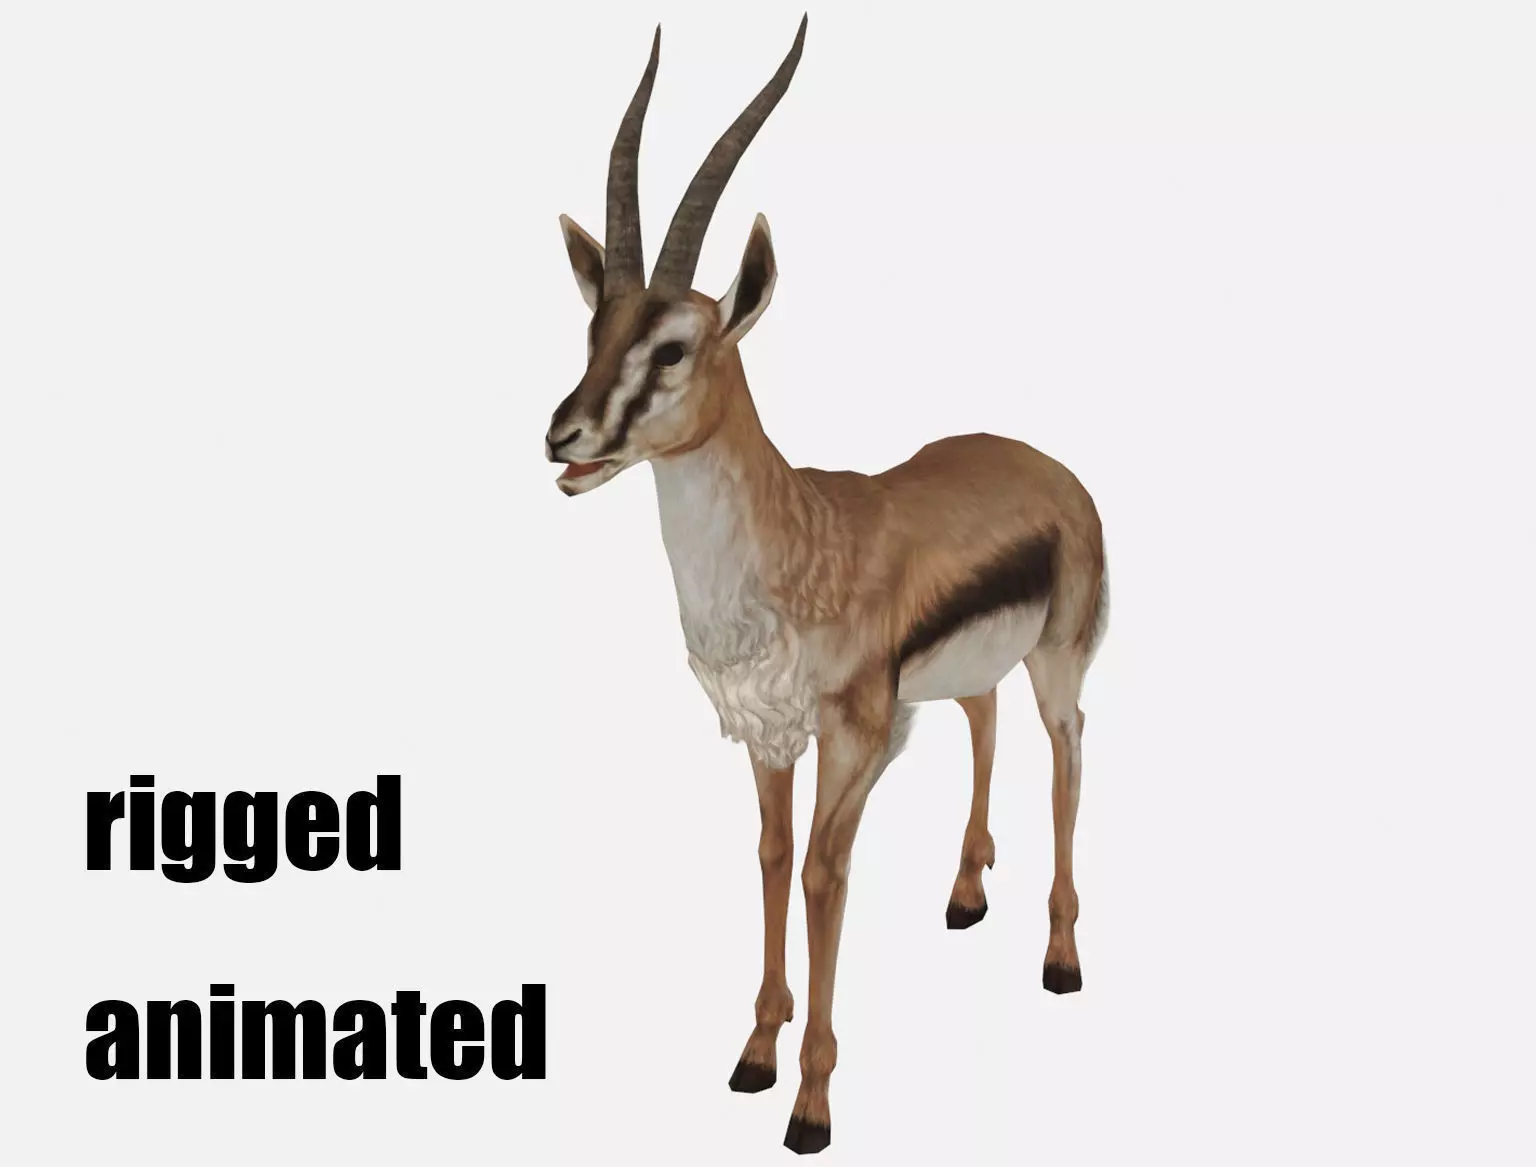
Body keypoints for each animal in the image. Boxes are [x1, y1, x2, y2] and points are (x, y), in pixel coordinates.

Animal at [543, 15, 1108, 1155]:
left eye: (674, 347)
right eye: (597, 329)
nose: (563, 436)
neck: (793, 542)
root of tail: (1051, 468)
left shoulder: (854, 734)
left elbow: (818, 872)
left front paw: (810, 1107)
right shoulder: (769, 733)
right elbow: (767, 855)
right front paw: (754, 1056)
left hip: (1058, 662)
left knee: (1068, 751)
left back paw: (1061, 959)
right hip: (971, 672)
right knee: (985, 721)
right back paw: (966, 896)